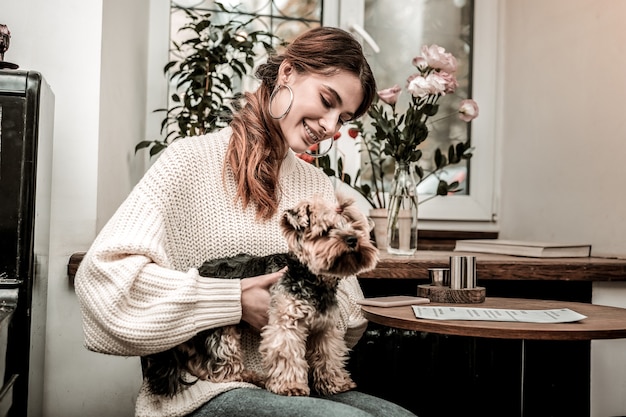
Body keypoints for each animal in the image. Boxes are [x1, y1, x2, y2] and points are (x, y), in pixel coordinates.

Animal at [144, 195, 378, 396]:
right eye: (325, 230)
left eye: (355, 227)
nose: (352, 239)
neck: (313, 279)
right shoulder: (285, 324)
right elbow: (287, 354)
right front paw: (290, 386)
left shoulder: (324, 329)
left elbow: (328, 356)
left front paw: (335, 382)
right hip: (220, 330)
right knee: (217, 368)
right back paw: (253, 376)